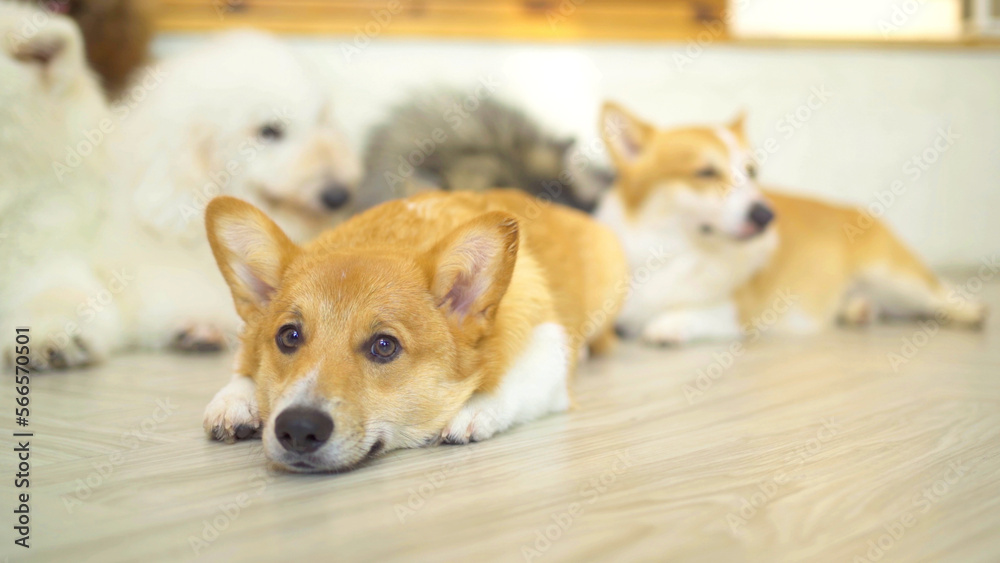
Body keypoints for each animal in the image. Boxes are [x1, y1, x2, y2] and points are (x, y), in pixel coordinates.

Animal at [201, 189, 624, 472]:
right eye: (288, 336)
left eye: (384, 346)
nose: (298, 428)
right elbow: (242, 369)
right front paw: (235, 400)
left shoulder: (548, 353)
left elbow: (510, 386)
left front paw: (471, 412)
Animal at [592, 103, 984, 346]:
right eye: (705, 172)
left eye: (752, 172)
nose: (766, 216)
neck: (674, 251)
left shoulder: (742, 313)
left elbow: (686, 314)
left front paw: (665, 326)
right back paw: (857, 310)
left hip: (893, 277)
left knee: (941, 296)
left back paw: (971, 313)